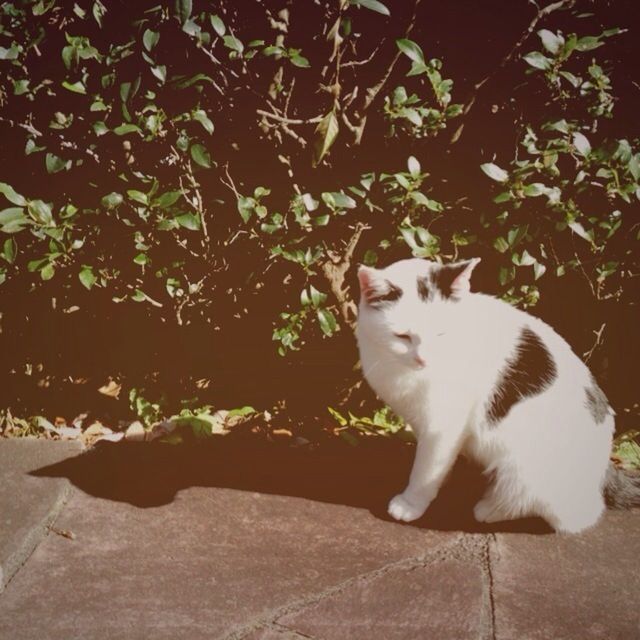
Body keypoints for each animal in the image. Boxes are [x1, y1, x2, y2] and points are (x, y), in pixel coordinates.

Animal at [356, 258, 640, 532]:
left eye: (441, 333)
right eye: (402, 337)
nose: (423, 359)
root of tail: (604, 469)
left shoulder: (444, 424)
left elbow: (427, 468)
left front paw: (411, 503)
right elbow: (438, 461)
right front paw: (441, 479)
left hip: (523, 460)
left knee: (564, 512)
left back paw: (490, 508)